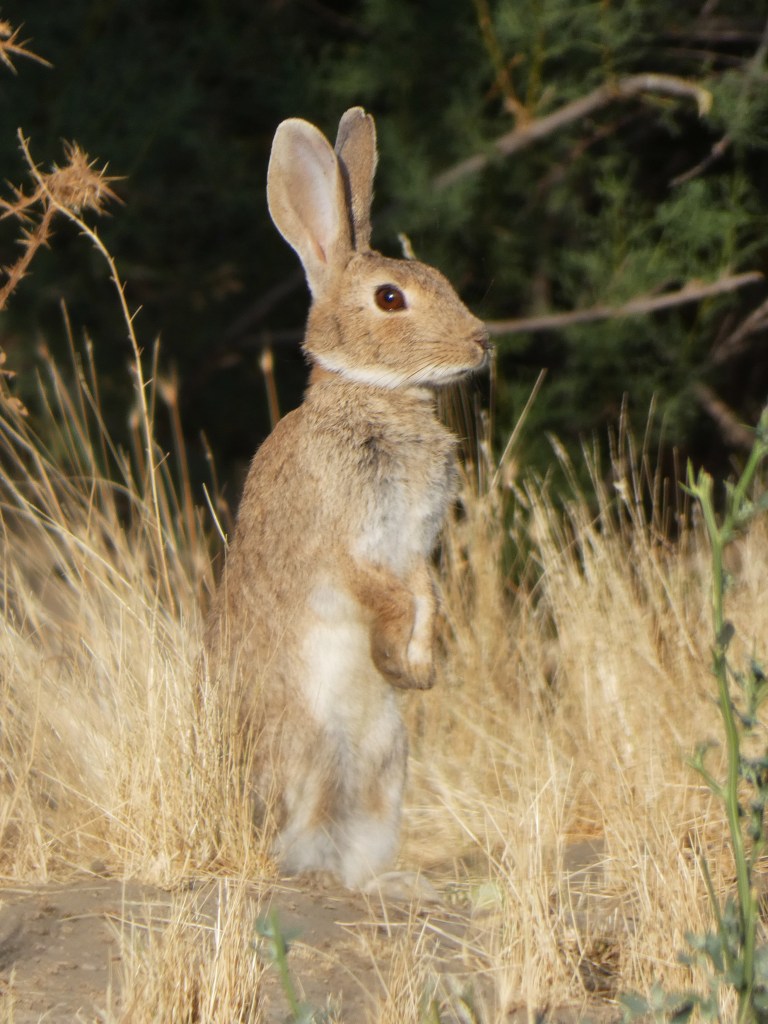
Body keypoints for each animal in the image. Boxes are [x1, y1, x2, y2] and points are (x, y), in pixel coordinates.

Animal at [204, 107, 489, 890]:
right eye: (390, 298)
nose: (481, 342)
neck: (376, 394)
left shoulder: (415, 544)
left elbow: (424, 593)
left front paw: (419, 670)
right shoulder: (347, 544)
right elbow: (383, 595)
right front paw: (399, 663)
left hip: (386, 765)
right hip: (303, 746)